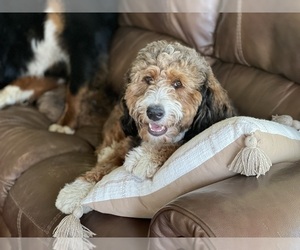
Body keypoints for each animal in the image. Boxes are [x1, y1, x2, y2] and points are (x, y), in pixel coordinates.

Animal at [55, 39, 234, 213]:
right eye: (148, 79)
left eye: (178, 83)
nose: (154, 112)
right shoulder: (126, 143)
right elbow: (105, 165)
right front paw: (75, 190)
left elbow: (176, 144)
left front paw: (145, 156)